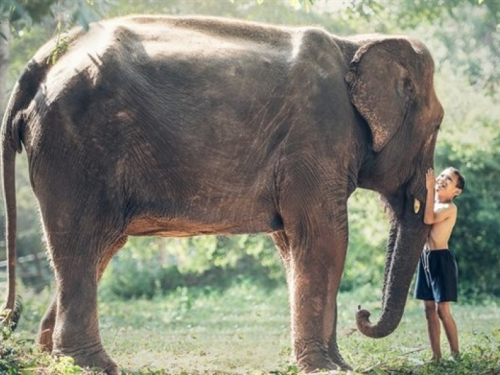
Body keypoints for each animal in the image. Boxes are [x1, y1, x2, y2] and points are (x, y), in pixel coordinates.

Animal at [1, 15, 444, 375]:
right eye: (438, 124)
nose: (363, 313)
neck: (354, 45)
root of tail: (44, 60)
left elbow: (293, 244)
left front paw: (335, 364)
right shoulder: (316, 138)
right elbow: (324, 238)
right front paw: (328, 369)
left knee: (99, 246)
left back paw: (50, 355)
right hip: (75, 148)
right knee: (82, 240)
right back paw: (92, 365)